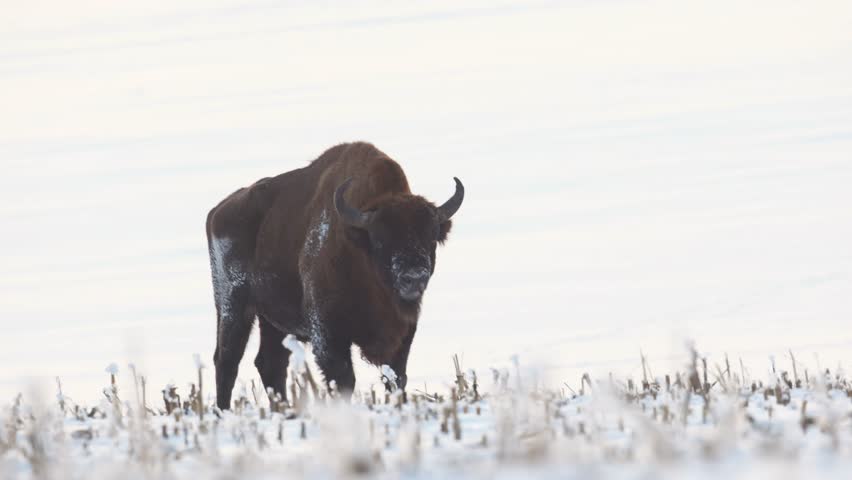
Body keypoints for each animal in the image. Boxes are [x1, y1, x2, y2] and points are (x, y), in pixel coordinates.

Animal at [206, 142, 464, 409]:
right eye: (380, 239)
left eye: (431, 237)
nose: (413, 277)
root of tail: (217, 212)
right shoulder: (327, 333)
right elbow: (343, 379)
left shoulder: (403, 334)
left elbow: (395, 376)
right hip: (232, 305)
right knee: (227, 360)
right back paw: (223, 410)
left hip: (272, 320)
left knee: (270, 363)